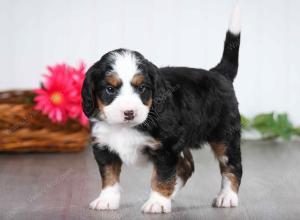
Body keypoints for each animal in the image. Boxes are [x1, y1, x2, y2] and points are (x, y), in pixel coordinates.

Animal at [81, 3, 241, 213]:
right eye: (110, 89)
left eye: (142, 88)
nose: (129, 113)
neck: (125, 127)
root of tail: (218, 73)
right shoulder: (104, 146)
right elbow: (109, 176)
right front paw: (107, 199)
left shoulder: (167, 148)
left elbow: (162, 176)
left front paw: (157, 202)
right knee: (186, 166)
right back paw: (172, 194)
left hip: (225, 136)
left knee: (232, 166)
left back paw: (227, 196)